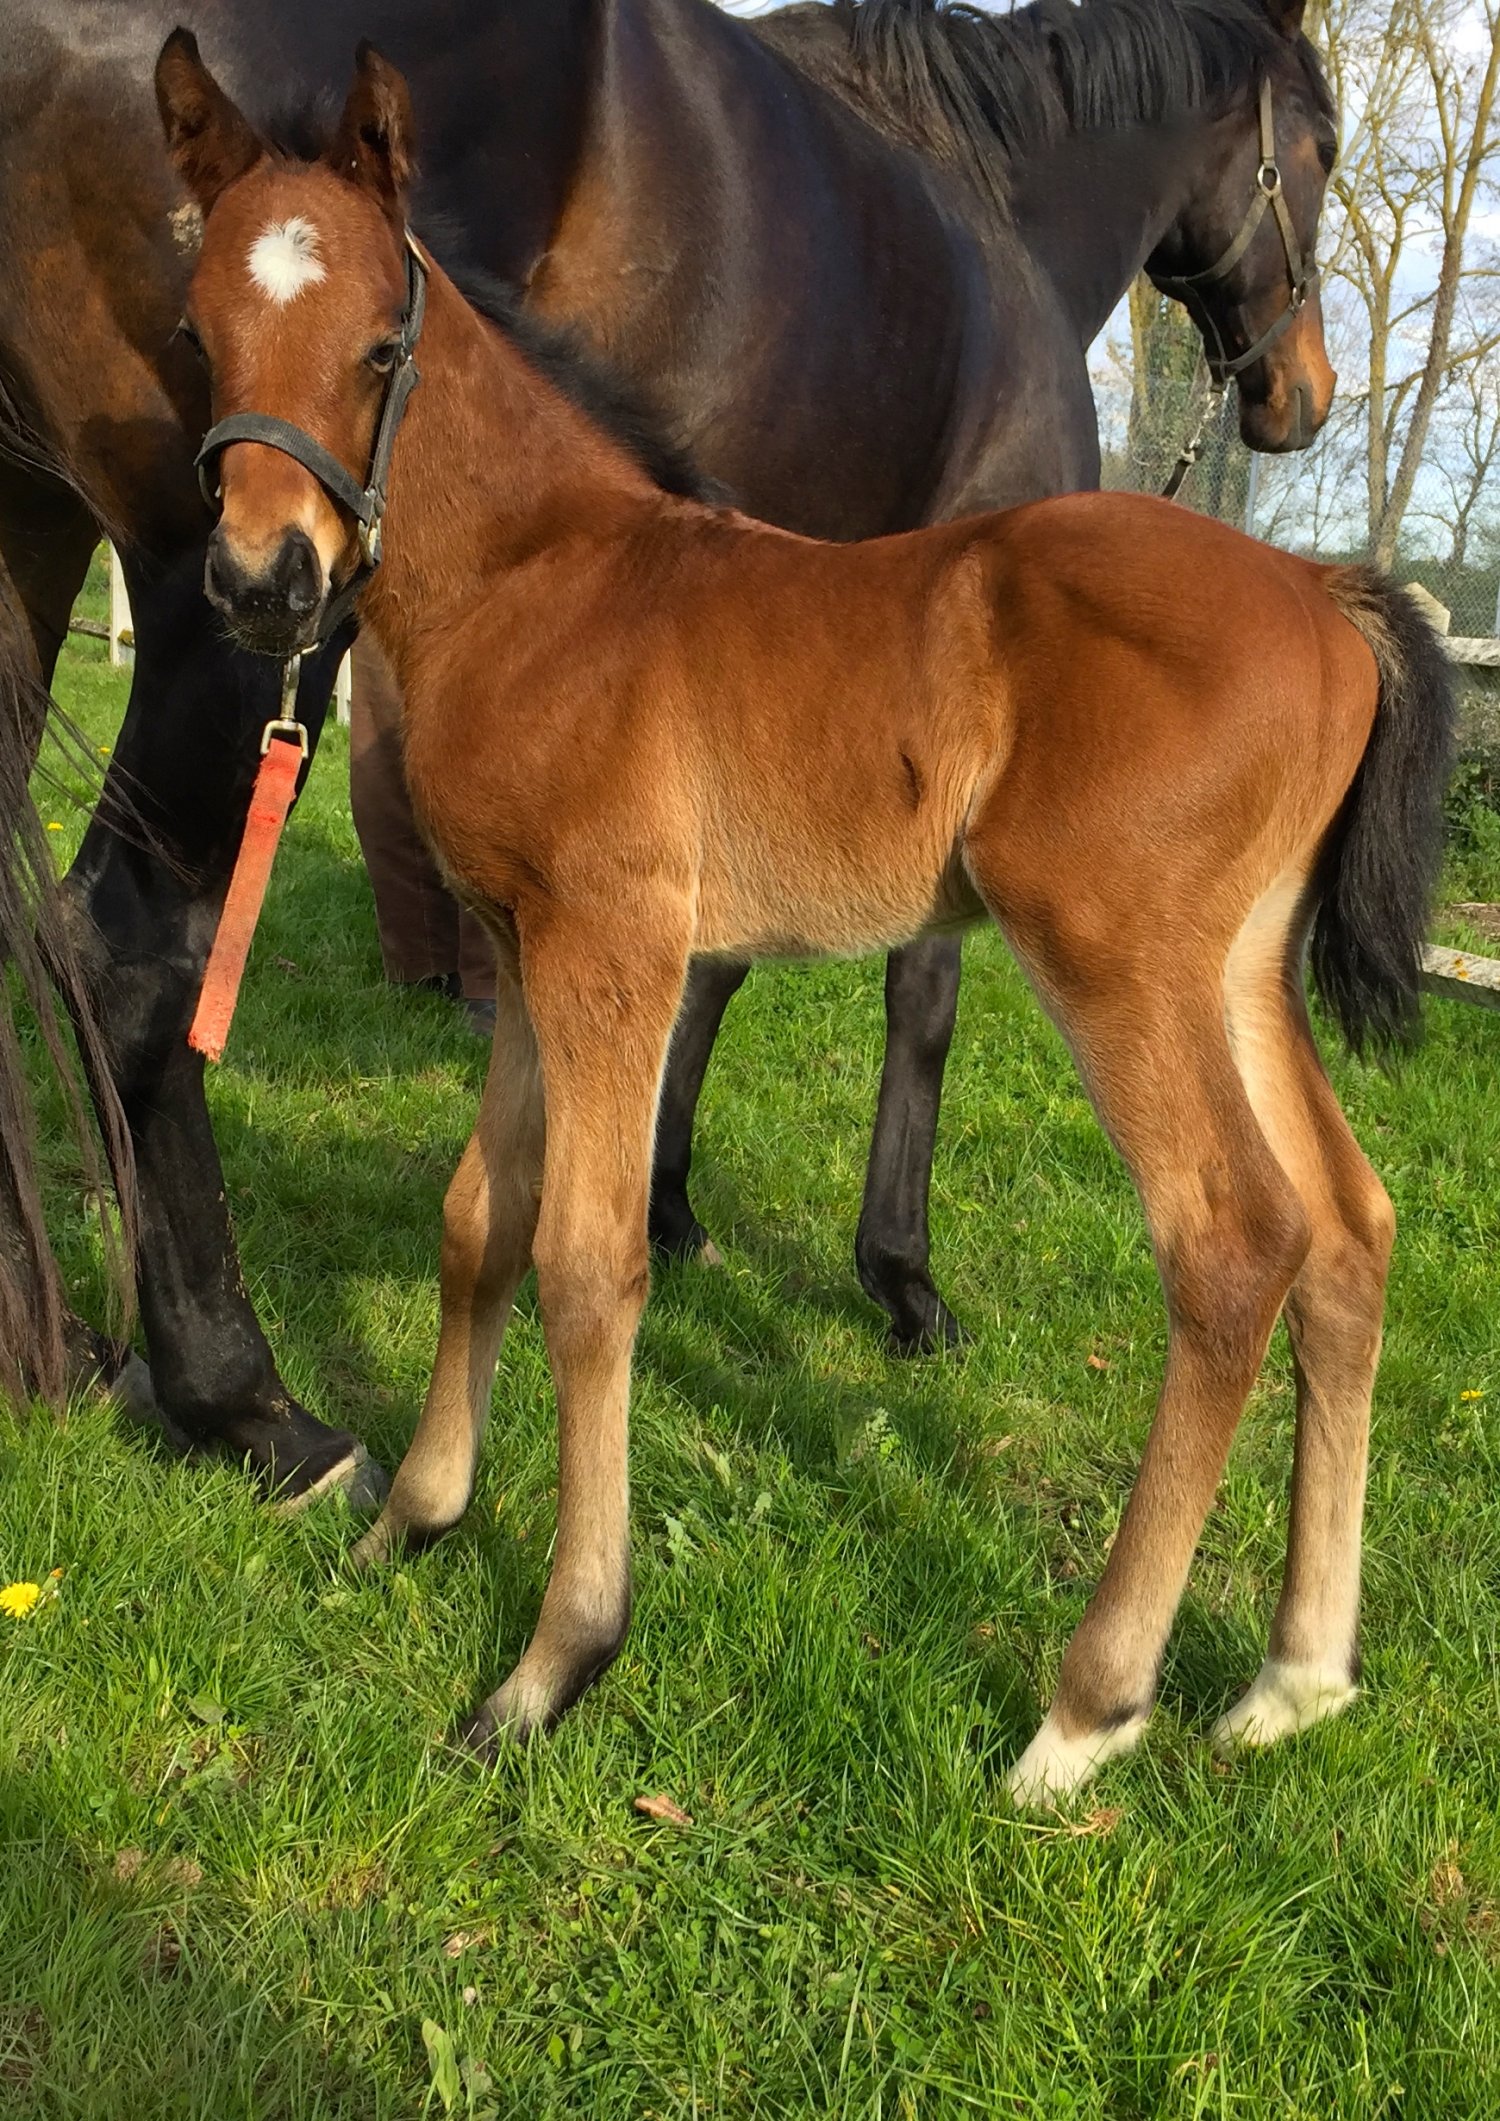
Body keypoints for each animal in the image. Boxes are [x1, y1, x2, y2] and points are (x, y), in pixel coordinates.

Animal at [0, 0, 1337, 1493]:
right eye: (1324, 146)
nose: (1300, 393)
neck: (1000, 201)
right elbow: (919, 989)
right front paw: (900, 1278)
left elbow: (718, 958)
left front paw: (673, 1199)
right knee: (126, 956)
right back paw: (249, 1402)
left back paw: (64, 1346)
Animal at [155, 33, 1452, 1801]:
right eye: (198, 333)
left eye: (377, 343)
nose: (262, 582)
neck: (542, 575)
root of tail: (1323, 591)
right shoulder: (526, 947)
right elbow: (478, 1221)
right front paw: (414, 1521)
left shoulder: (617, 947)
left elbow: (588, 1262)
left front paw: (553, 1663)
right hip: (1243, 968)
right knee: (1350, 1226)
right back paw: (1297, 1677)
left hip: (1118, 959)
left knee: (1236, 1245)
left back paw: (1085, 1713)